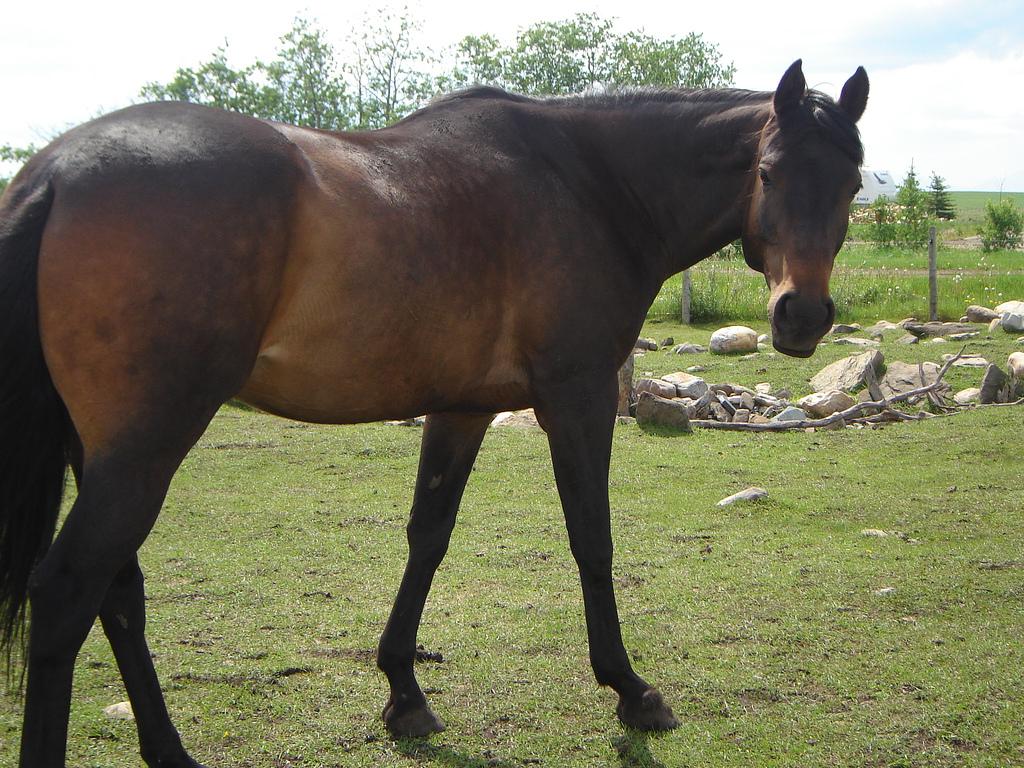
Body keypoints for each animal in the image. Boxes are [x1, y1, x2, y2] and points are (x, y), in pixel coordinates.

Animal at [0, 59, 868, 767]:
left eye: (853, 184)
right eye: (768, 171)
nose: (801, 316)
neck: (589, 182)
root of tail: (56, 169)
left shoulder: (460, 409)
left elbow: (429, 536)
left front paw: (404, 695)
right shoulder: (578, 397)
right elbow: (592, 539)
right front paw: (630, 688)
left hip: (104, 452)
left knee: (118, 591)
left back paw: (172, 752)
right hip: (145, 447)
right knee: (69, 592)